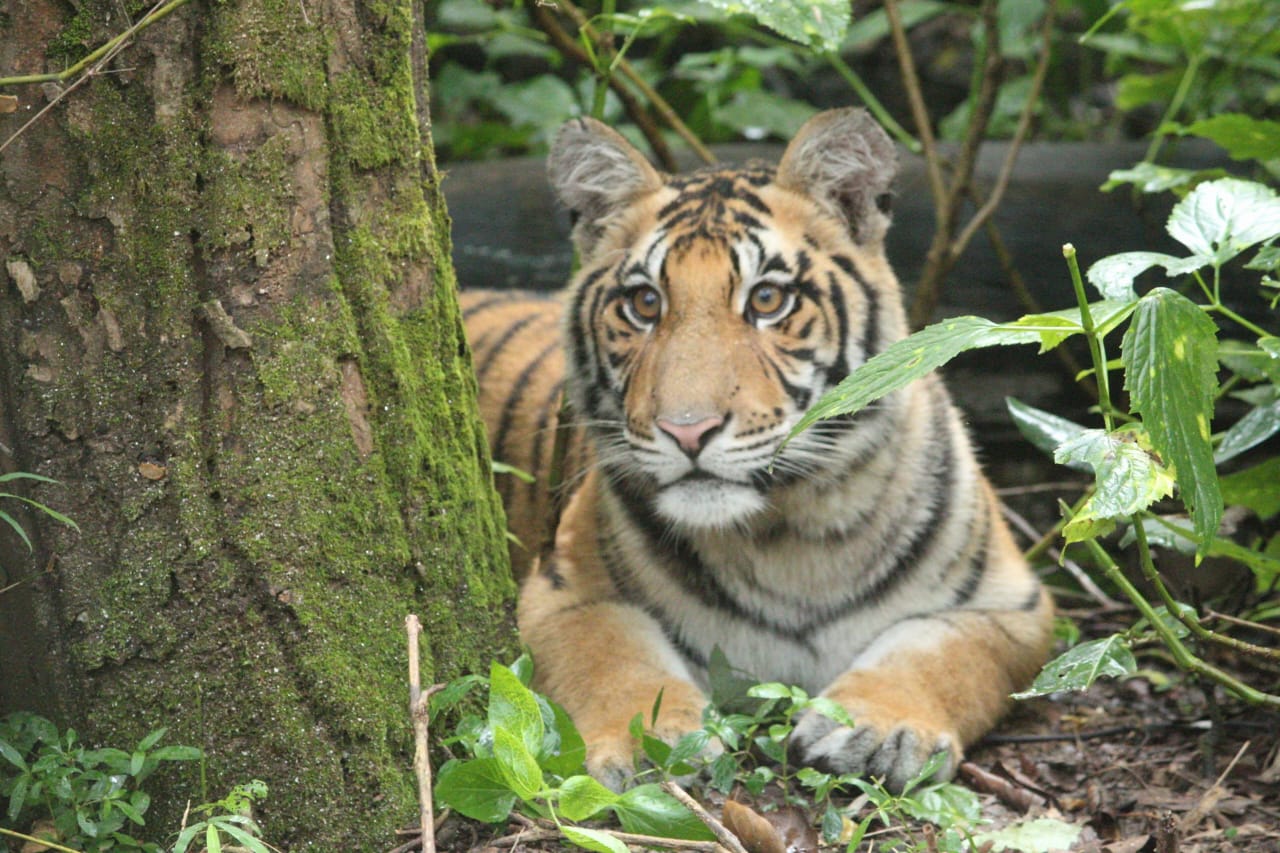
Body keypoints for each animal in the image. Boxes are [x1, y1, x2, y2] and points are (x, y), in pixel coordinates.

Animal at [460, 108, 1055, 793]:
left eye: (768, 299)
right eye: (644, 303)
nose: (687, 430)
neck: (789, 534)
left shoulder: (1012, 606)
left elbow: (937, 653)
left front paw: (875, 728)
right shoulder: (561, 593)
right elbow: (612, 653)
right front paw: (650, 740)